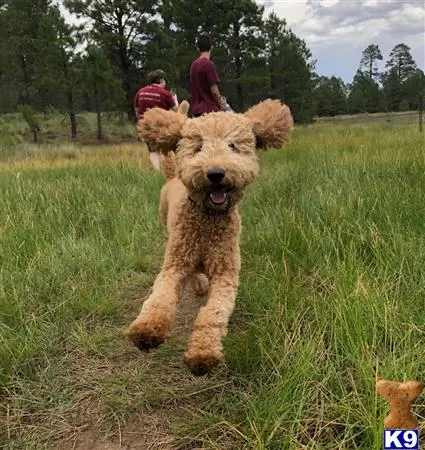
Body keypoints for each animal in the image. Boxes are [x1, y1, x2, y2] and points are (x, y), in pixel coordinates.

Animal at [127, 100, 294, 374]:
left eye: (233, 145)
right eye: (198, 147)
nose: (215, 173)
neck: (207, 219)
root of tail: (173, 176)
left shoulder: (226, 274)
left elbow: (213, 314)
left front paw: (202, 353)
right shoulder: (174, 264)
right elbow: (159, 298)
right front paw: (147, 331)